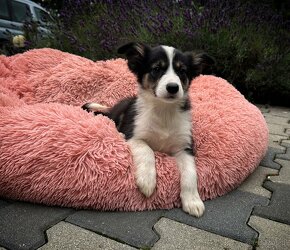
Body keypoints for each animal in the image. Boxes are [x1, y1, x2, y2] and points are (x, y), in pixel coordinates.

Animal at [82, 43, 214, 217]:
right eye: (156, 69)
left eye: (182, 71)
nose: (173, 87)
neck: (164, 111)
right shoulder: (133, 135)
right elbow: (147, 150)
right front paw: (147, 181)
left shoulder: (185, 146)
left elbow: (191, 172)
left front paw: (193, 201)